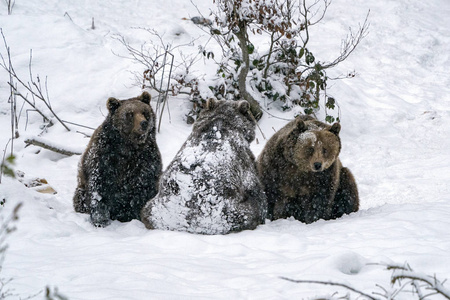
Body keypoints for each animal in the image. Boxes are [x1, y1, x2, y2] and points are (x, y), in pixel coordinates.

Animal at [71, 91, 160, 227]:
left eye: (145, 112)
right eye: (130, 114)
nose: (144, 123)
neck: (128, 146)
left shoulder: (146, 159)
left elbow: (142, 187)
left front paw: (132, 215)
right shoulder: (105, 156)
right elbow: (99, 186)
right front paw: (101, 220)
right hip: (81, 189)